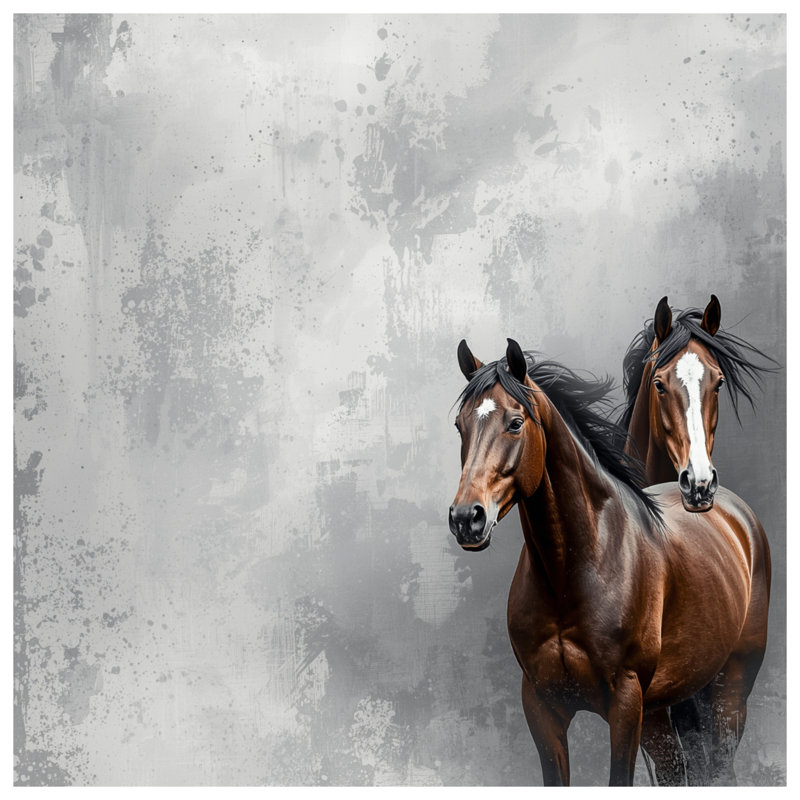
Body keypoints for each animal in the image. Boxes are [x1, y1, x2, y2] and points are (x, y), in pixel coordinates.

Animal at [448, 338, 770, 786]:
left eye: (514, 423)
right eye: (460, 426)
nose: (466, 519)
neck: (572, 571)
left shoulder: (625, 705)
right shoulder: (542, 708)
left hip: (730, 690)